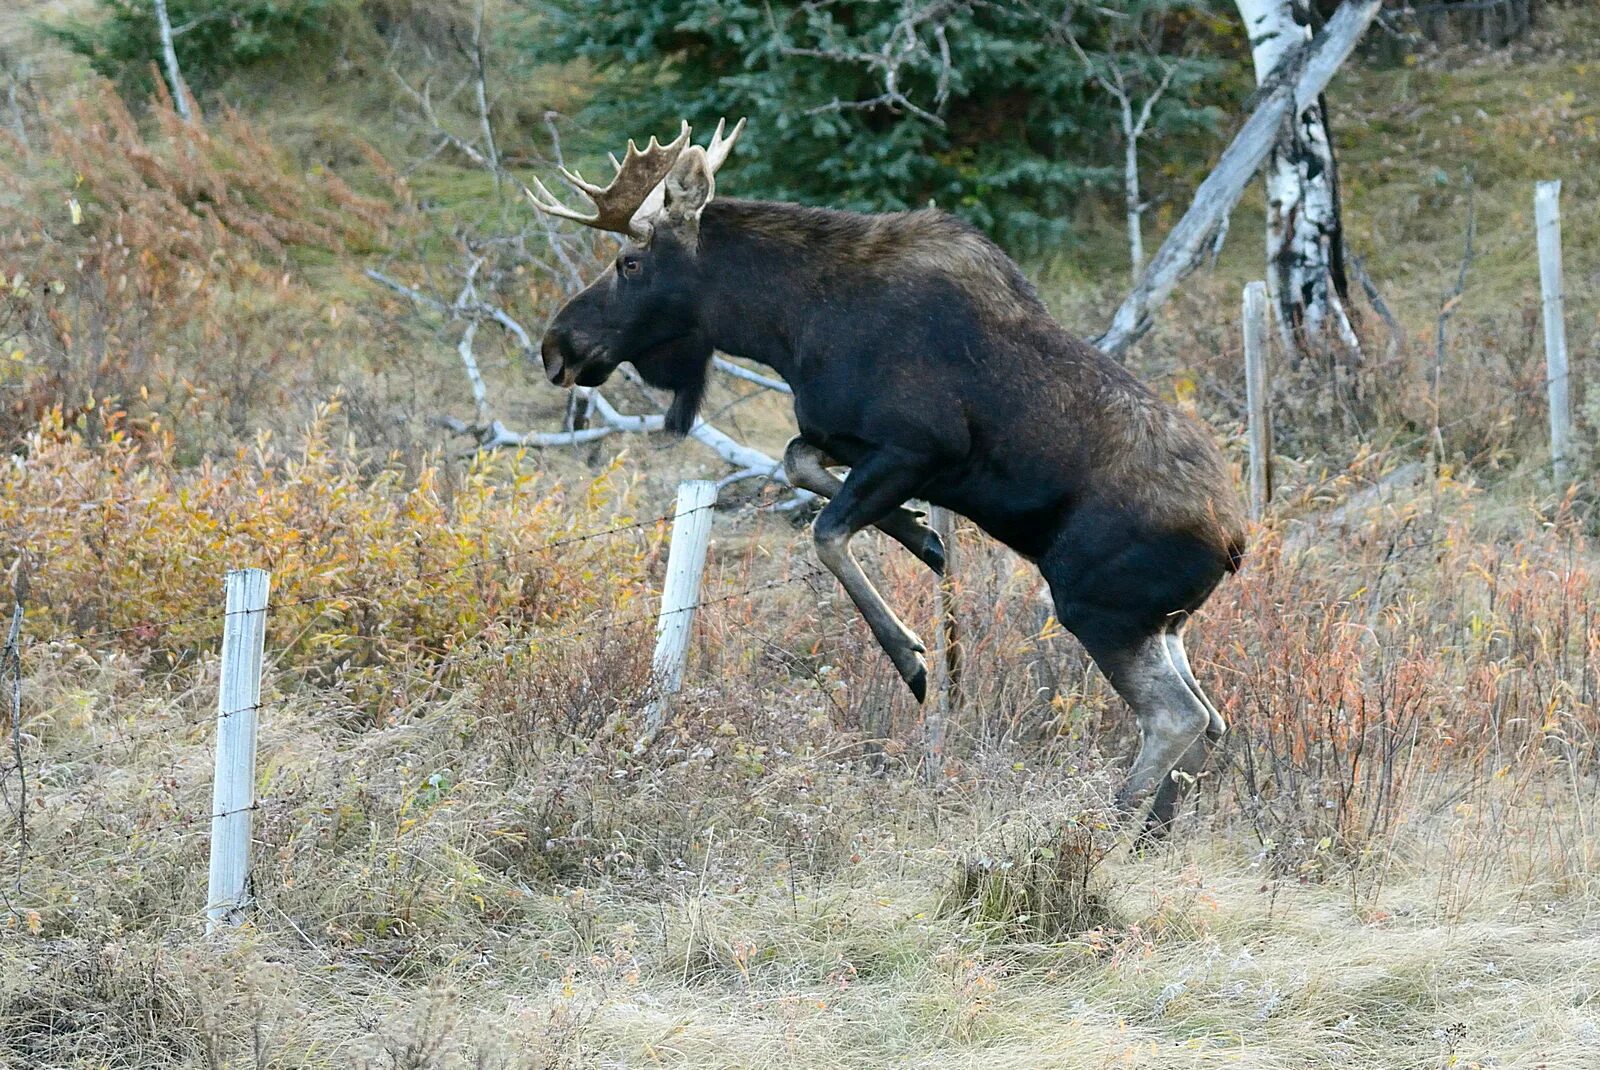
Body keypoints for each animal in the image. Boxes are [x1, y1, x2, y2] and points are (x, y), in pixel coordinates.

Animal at [531, 119, 1241, 831]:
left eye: (630, 262)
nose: (555, 347)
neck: (783, 324)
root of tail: (1233, 544)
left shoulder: (918, 447)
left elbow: (825, 531)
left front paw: (911, 656)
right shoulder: (846, 438)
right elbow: (797, 462)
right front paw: (922, 536)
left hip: (1099, 608)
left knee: (1177, 719)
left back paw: (1108, 834)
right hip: (1165, 624)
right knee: (1213, 721)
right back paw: (1153, 836)